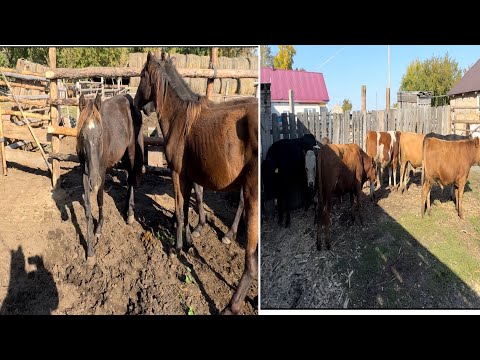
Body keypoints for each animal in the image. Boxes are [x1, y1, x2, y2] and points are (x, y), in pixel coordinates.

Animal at [77, 93, 143, 258]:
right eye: (82, 135)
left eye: (101, 133)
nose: (94, 182)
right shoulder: (85, 174)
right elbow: (88, 209)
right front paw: (90, 252)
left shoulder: (101, 172)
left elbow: (100, 200)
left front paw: (99, 228)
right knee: (128, 178)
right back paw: (126, 208)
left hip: (131, 152)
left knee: (132, 179)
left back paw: (130, 214)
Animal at [133, 51, 256, 316]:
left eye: (142, 76)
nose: (139, 105)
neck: (180, 118)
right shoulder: (191, 175)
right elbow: (192, 205)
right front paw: (192, 238)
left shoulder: (178, 174)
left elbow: (181, 212)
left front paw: (177, 248)